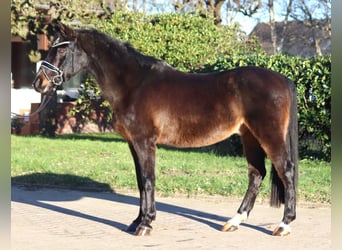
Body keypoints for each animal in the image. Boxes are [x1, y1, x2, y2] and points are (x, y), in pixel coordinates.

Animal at [33, 21, 298, 236]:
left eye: (62, 49)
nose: (39, 83)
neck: (134, 84)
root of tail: (284, 80)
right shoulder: (133, 144)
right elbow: (140, 181)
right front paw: (136, 221)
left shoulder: (145, 142)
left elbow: (149, 179)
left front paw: (145, 224)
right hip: (249, 136)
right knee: (256, 174)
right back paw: (234, 221)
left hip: (269, 136)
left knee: (286, 171)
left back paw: (284, 225)